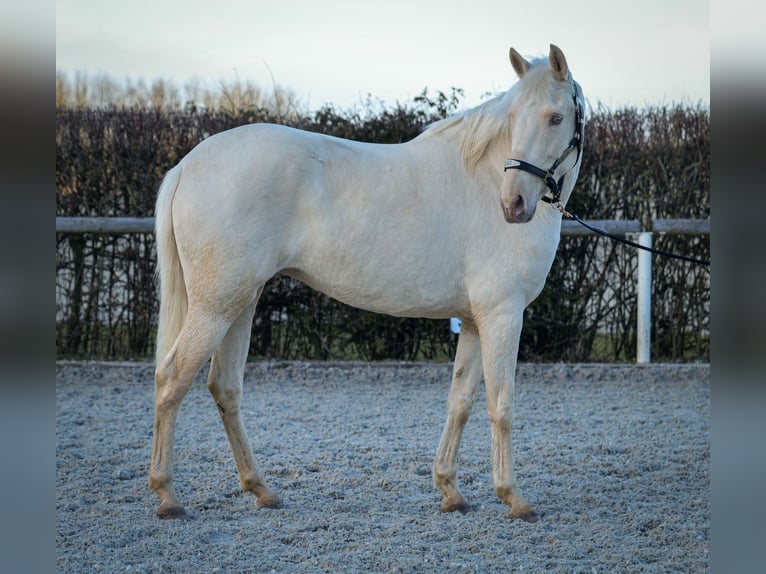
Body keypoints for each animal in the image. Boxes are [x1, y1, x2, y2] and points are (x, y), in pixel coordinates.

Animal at [150, 44, 588, 520]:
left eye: (555, 118)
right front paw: (513, 497)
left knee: (225, 387)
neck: (483, 178)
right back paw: (168, 495)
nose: (513, 204)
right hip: (215, 306)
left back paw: (260, 488)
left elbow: (460, 403)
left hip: (240, 302)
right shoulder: (502, 314)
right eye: (514, 118)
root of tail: (187, 166)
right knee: (172, 378)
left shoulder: (475, 320)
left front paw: (450, 490)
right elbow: (501, 405)